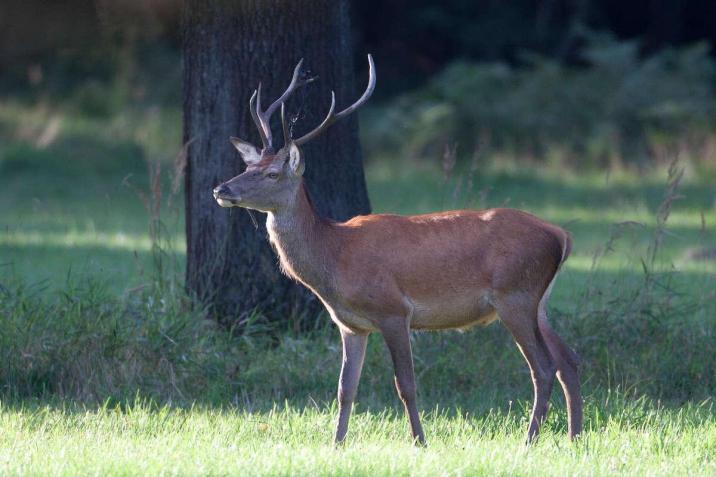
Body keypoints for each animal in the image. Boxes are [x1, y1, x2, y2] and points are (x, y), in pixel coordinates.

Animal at [213, 55, 580, 446]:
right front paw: (337, 445)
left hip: (515, 295)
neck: (335, 257)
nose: (222, 189)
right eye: (249, 165)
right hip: (538, 302)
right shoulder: (350, 325)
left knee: (544, 366)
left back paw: (529, 440)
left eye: (272, 174)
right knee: (569, 359)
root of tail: (561, 235)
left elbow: (405, 384)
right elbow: (345, 389)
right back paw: (575, 436)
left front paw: (419, 441)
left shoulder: (393, 310)